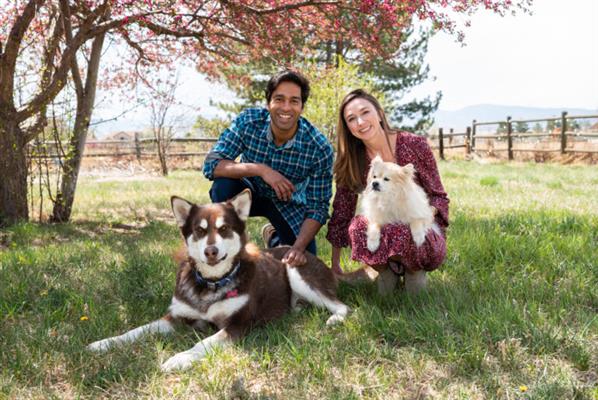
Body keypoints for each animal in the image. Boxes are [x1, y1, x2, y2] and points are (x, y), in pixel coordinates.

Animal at [89, 189, 352, 370]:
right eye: (199, 230)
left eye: (224, 229)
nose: (211, 251)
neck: (211, 283)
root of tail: (301, 250)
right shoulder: (176, 317)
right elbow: (137, 330)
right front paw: (104, 343)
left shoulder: (237, 325)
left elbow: (202, 344)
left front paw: (180, 358)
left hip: (294, 271)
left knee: (343, 306)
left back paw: (334, 319)